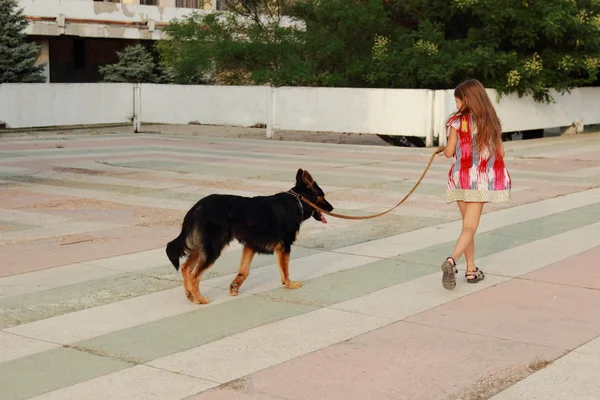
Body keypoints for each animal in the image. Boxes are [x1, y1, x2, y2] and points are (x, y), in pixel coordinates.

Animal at [165, 168, 332, 304]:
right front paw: (289, 284)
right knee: (195, 275)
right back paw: (200, 299)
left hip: (202, 247)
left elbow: (244, 271)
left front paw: (235, 286)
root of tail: (197, 207)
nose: (332, 208)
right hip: (212, 248)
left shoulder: (250, 246)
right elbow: (285, 270)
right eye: (322, 196)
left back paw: (190, 294)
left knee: (185, 268)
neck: (297, 201)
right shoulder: (284, 247)